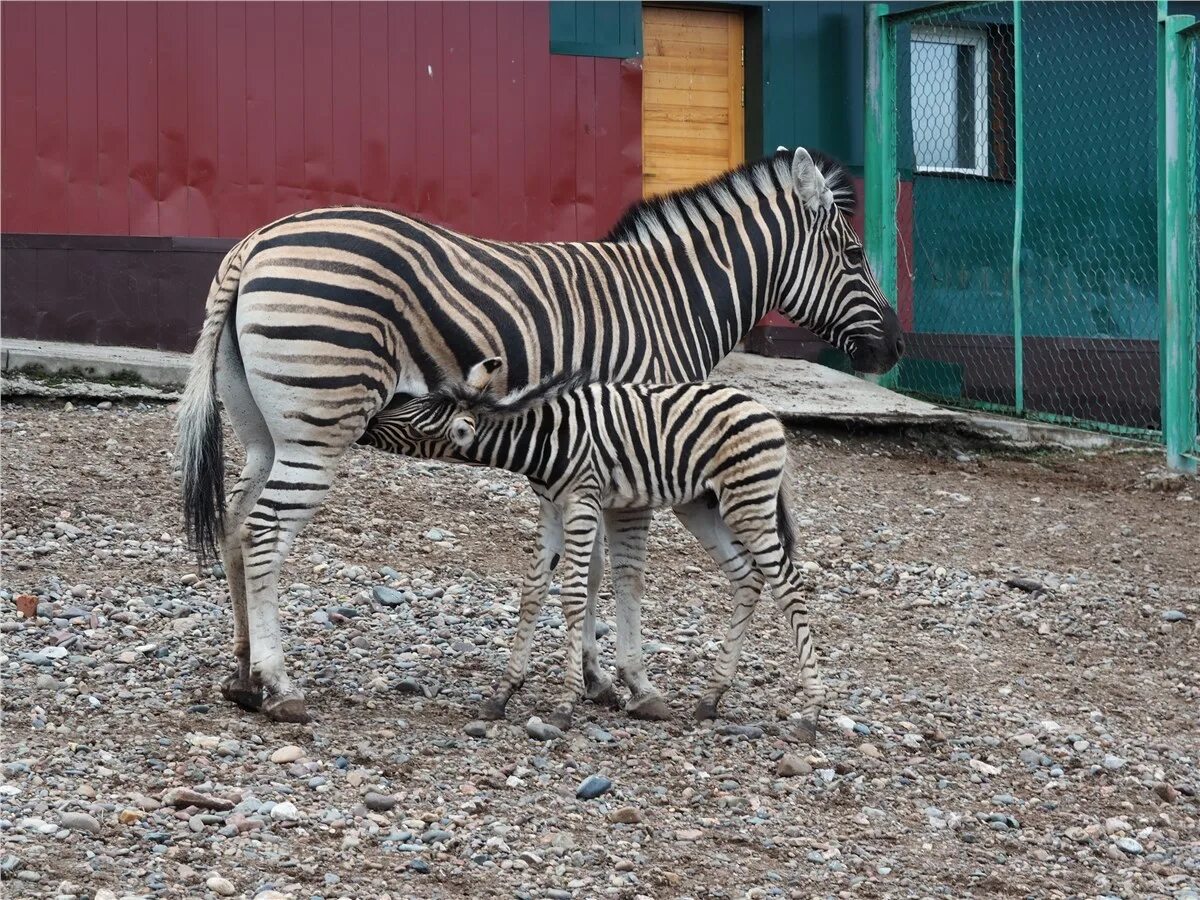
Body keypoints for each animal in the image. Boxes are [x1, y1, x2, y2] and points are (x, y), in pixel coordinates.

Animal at [357, 360, 825, 739]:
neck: (542, 442)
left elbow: (573, 595)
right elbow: (532, 590)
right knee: (747, 577)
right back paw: (711, 698)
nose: (366, 423)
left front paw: (565, 704)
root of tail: (766, 411)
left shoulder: (581, 501)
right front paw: (502, 694)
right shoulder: (550, 508)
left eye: (416, 424)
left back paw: (810, 712)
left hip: (748, 500)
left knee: (788, 583)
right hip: (702, 505)